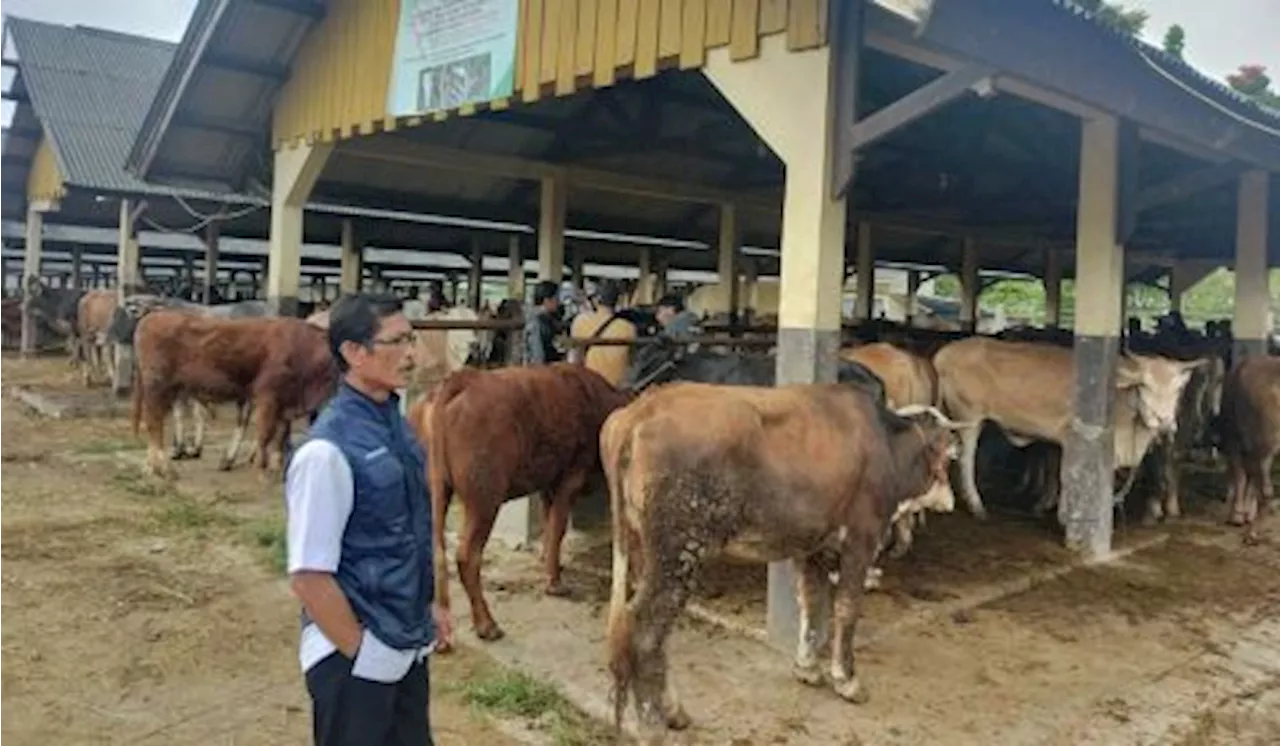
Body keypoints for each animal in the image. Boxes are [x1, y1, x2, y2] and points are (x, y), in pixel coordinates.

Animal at [131, 310, 335, 478]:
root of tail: (153, 316)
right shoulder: (268, 395)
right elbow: (265, 433)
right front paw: (261, 470)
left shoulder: (286, 403)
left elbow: (281, 435)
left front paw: (276, 468)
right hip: (157, 386)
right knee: (154, 424)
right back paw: (163, 468)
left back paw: (153, 467)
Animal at [409, 360, 629, 642]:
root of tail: (463, 379)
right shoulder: (570, 478)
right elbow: (557, 530)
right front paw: (555, 583)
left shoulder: (549, 484)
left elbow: (549, 527)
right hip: (485, 500)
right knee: (468, 556)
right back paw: (486, 624)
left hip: (436, 493)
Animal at [604, 381, 962, 742]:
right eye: (950, 457)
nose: (951, 502)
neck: (887, 446)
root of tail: (643, 408)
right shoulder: (861, 539)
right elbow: (846, 609)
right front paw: (847, 680)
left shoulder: (813, 547)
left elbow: (812, 603)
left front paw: (807, 668)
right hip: (677, 552)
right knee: (644, 630)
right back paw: (652, 725)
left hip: (645, 552)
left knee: (655, 635)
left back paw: (674, 712)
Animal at [1213, 355, 1280, 537]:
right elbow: (1247, 476)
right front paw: (1246, 513)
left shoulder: (1234, 440)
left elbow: (1240, 475)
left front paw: (1237, 515)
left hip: (1262, 443)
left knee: (1266, 490)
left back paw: (1253, 533)